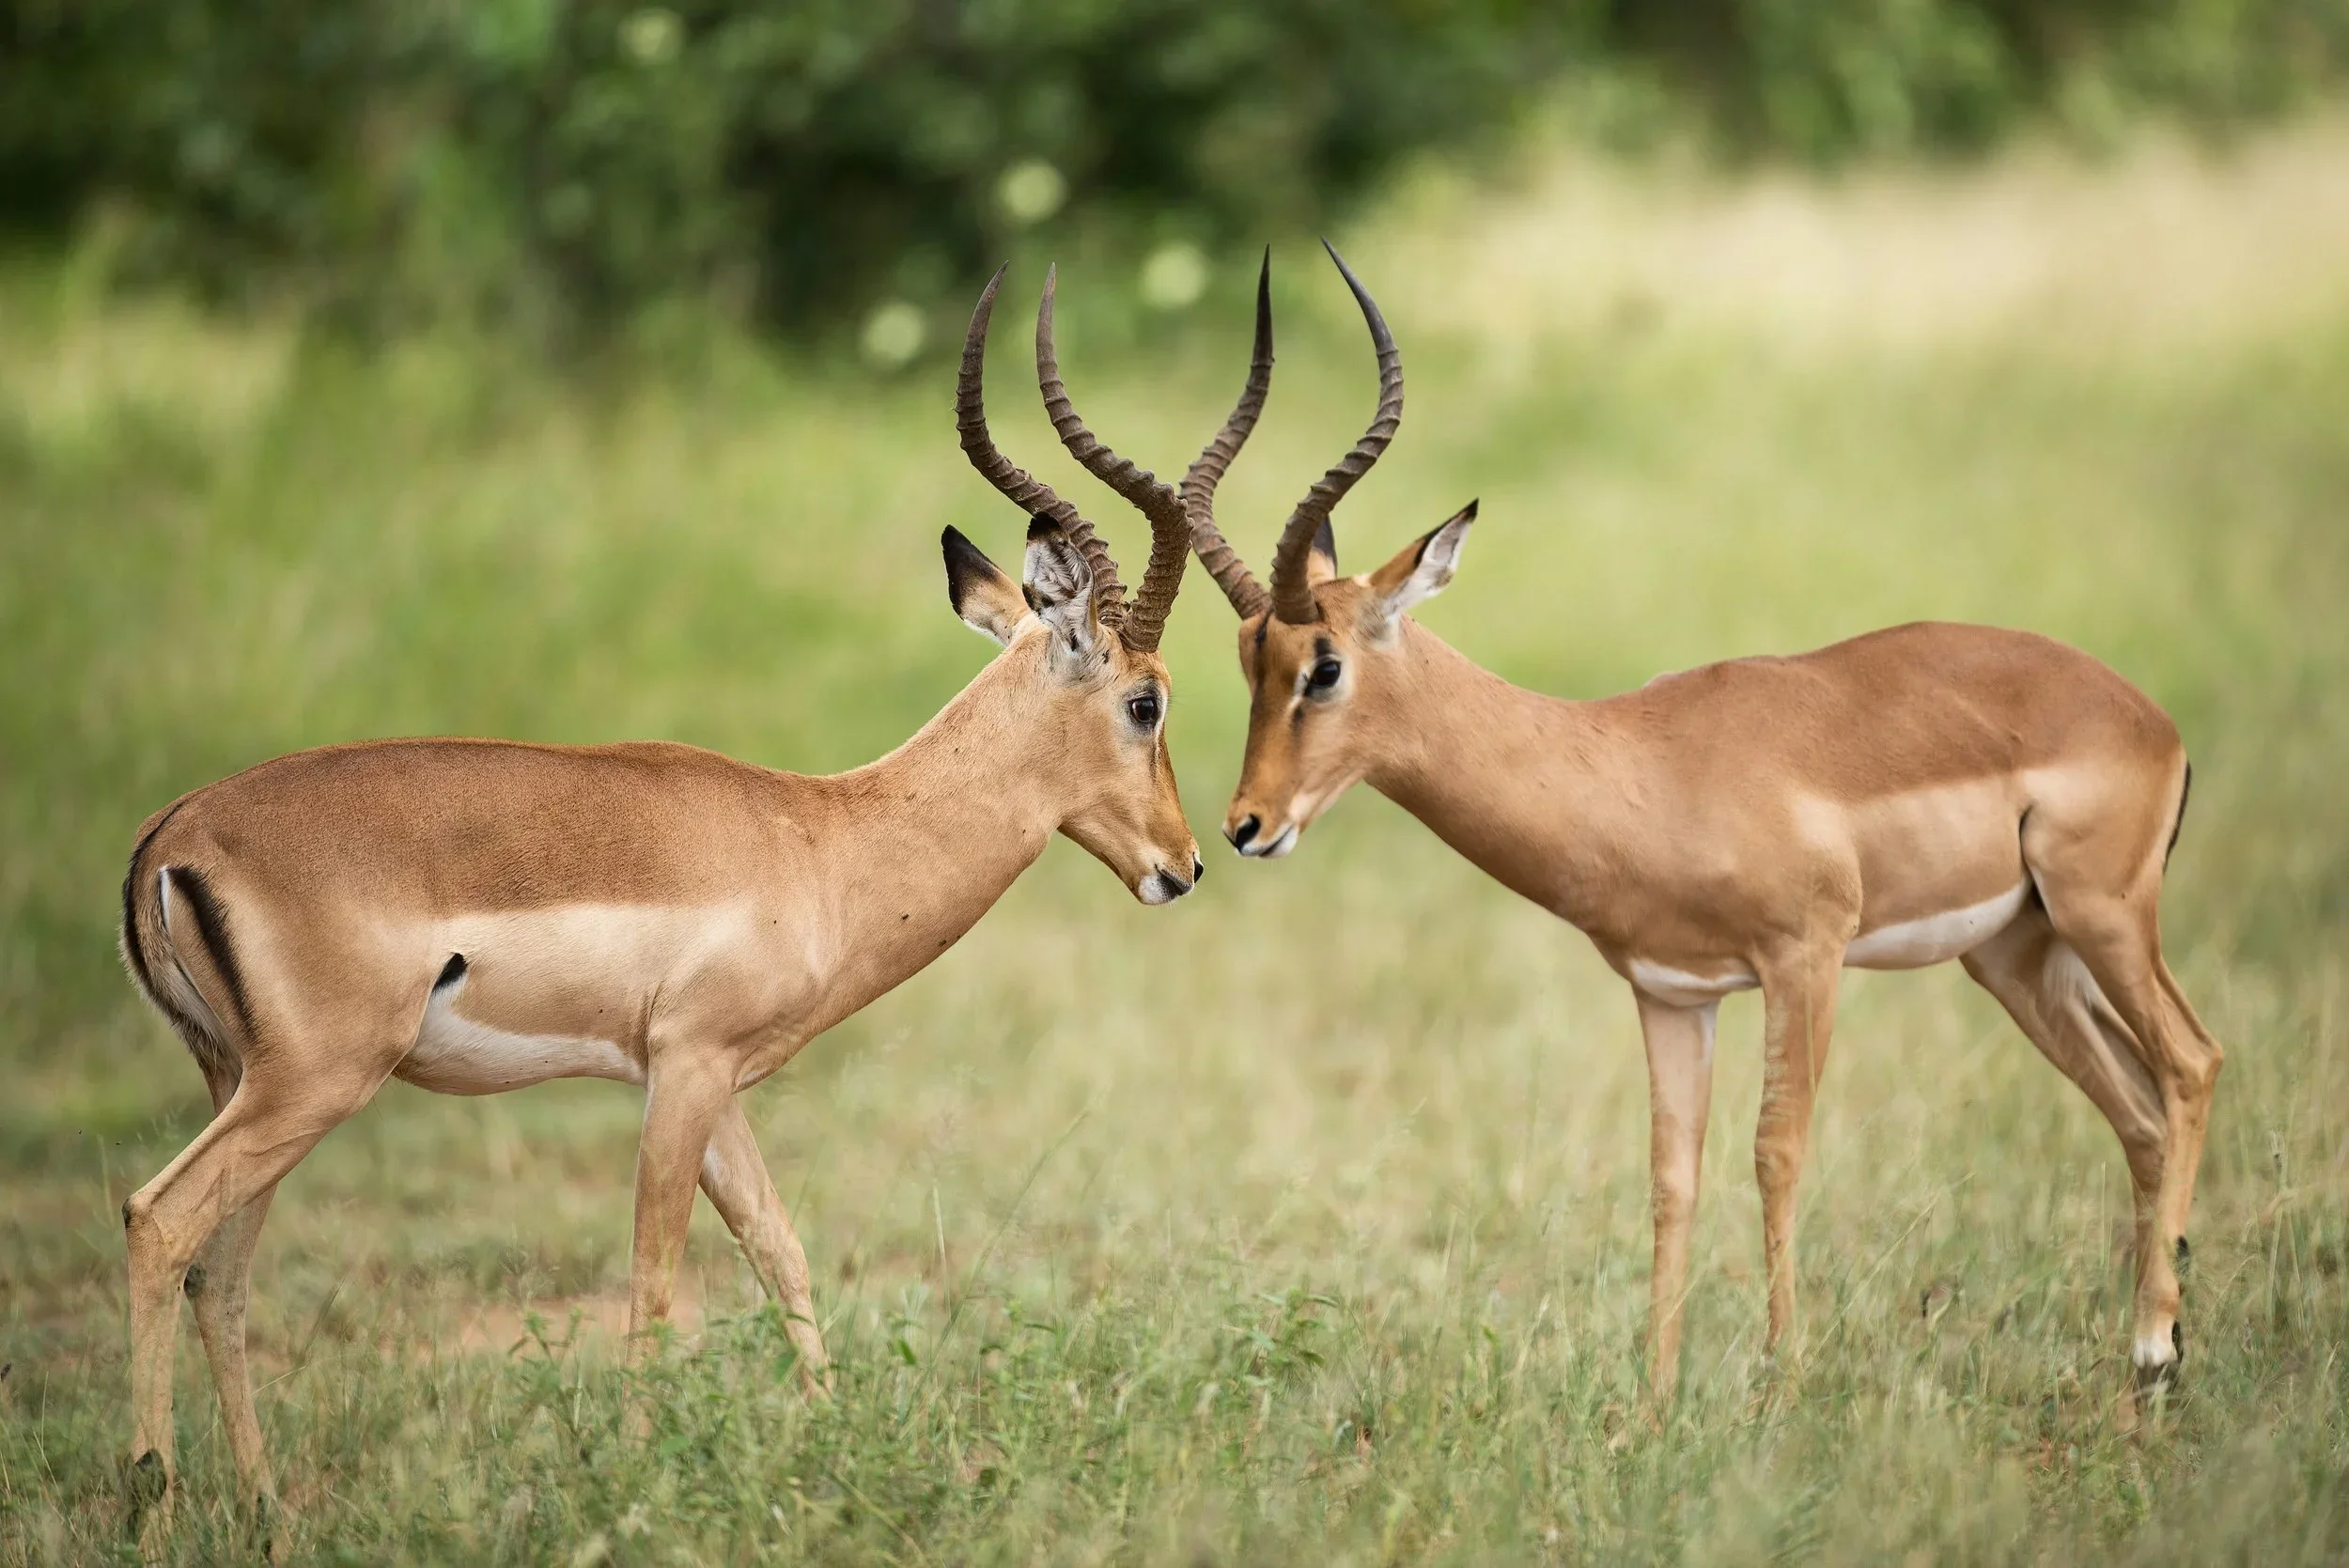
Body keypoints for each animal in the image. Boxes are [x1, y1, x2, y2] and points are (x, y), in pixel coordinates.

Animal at [112, 264, 1224, 1523]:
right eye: (1145, 702)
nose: (1182, 863)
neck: (822, 839)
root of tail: (172, 834)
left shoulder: (716, 1082)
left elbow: (782, 1250)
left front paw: (826, 1444)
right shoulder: (684, 1069)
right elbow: (654, 1277)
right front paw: (636, 1475)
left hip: (247, 1083)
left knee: (222, 1269)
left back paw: (262, 1500)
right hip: (312, 1082)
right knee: (160, 1220)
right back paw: (153, 1495)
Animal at [1185, 245, 2222, 1406]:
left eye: (1323, 666)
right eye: (1246, 658)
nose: (1244, 825)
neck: (1638, 765)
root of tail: (2148, 717)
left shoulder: (1804, 958)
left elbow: (1775, 1149)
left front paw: (1782, 1380)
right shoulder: (1672, 993)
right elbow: (1670, 1177)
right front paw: (1651, 1402)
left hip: (2102, 915)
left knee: (2192, 1063)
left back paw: (2154, 1344)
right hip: (2016, 953)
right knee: (2137, 1106)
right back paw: (2150, 1349)